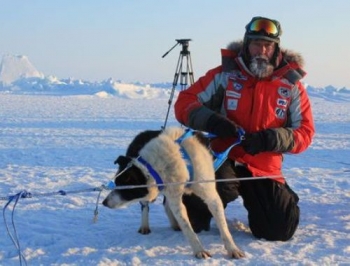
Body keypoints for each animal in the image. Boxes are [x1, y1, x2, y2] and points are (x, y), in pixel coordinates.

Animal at [101, 128, 245, 258]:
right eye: (116, 183)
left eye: (122, 186)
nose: (104, 202)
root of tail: (141, 134)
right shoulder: (175, 197)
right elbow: (187, 228)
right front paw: (199, 250)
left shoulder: (211, 196)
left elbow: (223, 227)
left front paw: (233, 249)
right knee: (146, 207)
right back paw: (145, 226)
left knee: (165, 205)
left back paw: (174, 224)